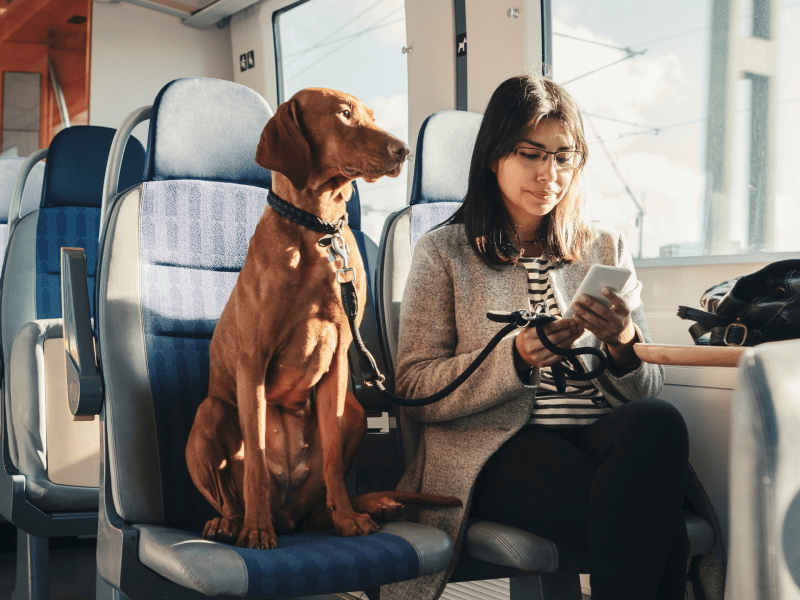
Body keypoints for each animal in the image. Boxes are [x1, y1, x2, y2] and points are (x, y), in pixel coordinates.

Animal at [185, 86, 460, 552]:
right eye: (344, 114)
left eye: (370, 115)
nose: (402, 150)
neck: (318, 230)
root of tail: (287, 515)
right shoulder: (252, 362)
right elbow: (255, 461)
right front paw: (256, 530)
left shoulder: (339, 360)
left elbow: (331, 460)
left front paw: (347, 521)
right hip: (210, 411)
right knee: (229, 494)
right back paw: (232, 523)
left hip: (353, 411)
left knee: (314, 506)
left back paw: (363, 510)